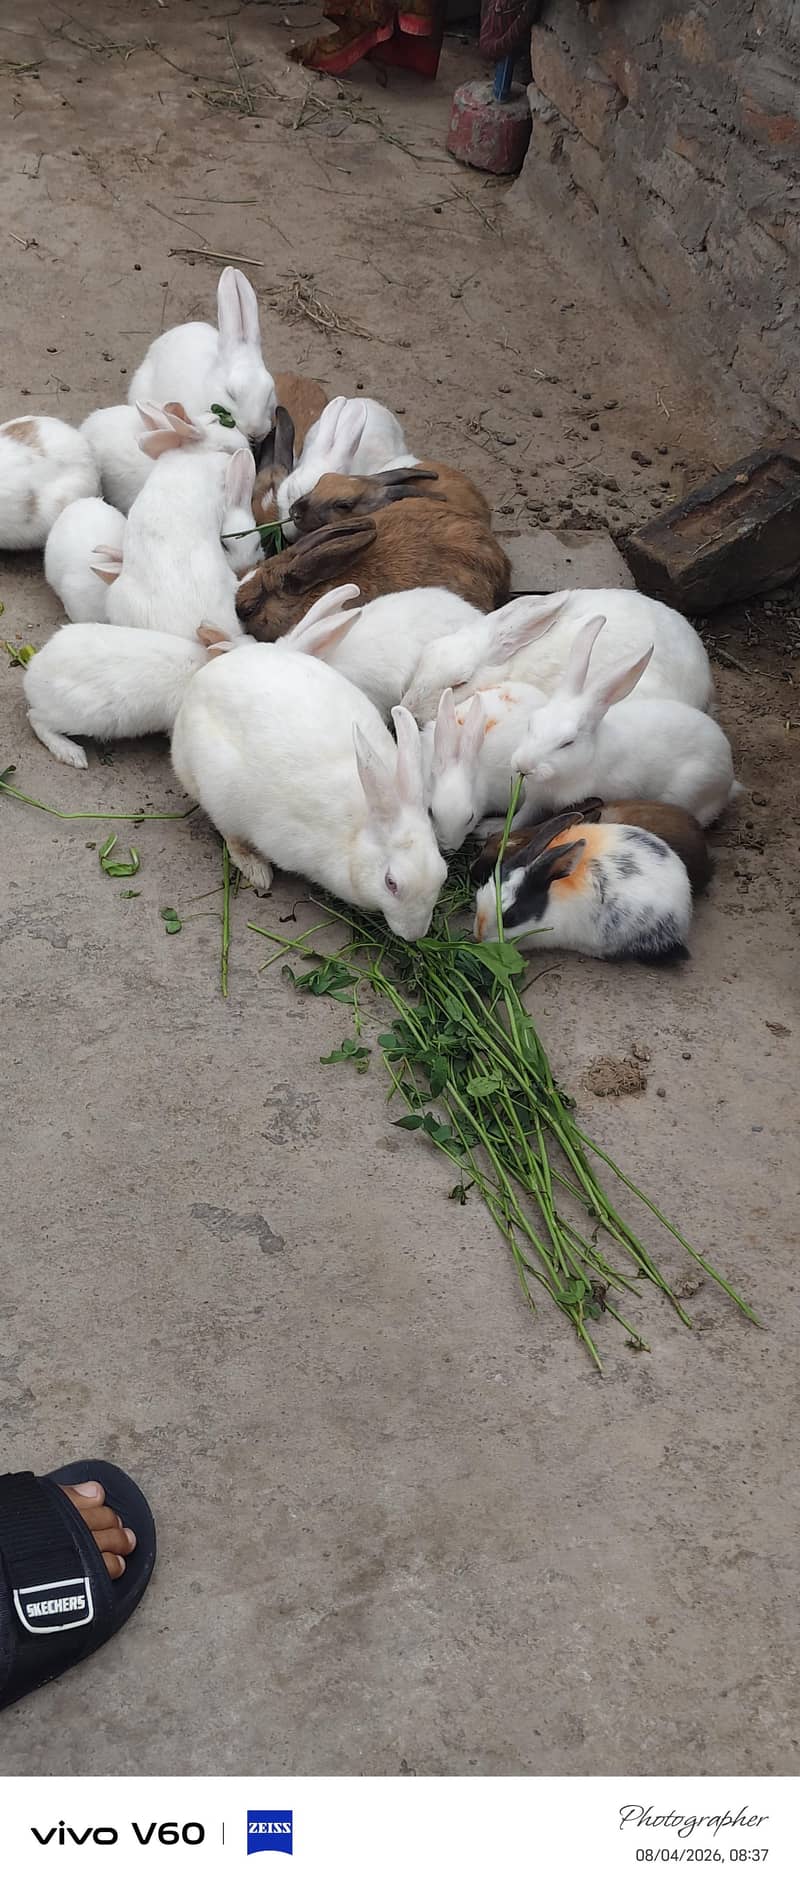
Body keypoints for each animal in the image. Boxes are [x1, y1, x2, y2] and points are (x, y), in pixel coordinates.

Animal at [171, 634, 447, 938]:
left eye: (443, 874)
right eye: (391, 883)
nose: (415, 935)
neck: (356, 831)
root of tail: (204, 676)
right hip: (219, 793)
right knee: (230, 835)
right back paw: (257, 871)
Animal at [510, 617, 736, 827]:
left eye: (568, 743)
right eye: (531, 724)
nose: (524, 765)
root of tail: (729, 775)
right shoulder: (536, 801)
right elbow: (521, 817)